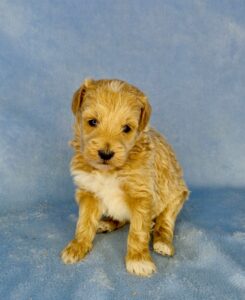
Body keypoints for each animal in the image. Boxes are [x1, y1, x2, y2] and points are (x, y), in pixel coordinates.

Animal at [61, 79, 189, 276]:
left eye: (126, 128)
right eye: (92, 122)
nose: (105, 154)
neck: (110, 171)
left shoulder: (142, 195)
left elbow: (138, 232)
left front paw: (138, 260)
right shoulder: (89, 191)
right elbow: (83, 223)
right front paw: (77, 246)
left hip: (176, 197)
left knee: (165, 222)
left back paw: (162, 242)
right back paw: (106, 223)